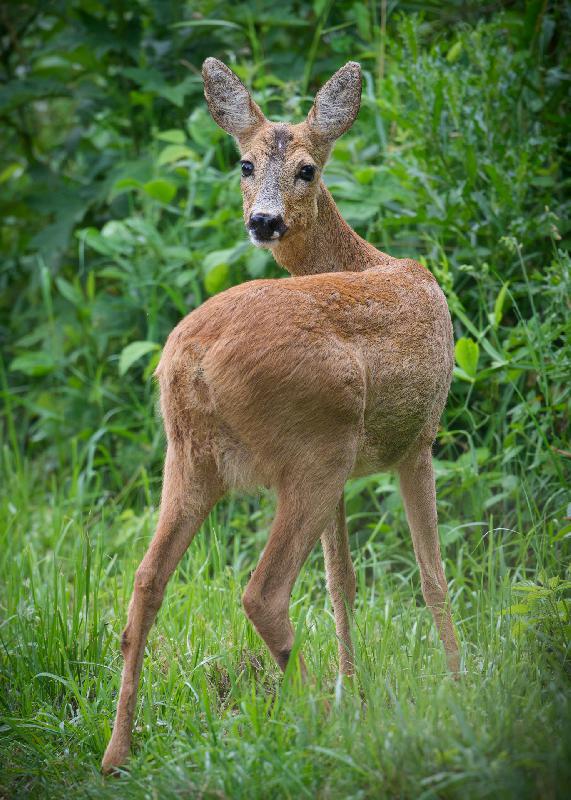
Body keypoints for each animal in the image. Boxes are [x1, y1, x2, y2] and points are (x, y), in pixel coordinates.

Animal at [101, 58, 460, 774]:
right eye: (243, 163)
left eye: (307, 169)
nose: (264, 221)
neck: (370, 258)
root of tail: (192, 361)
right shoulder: (418, 438)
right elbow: (432, 575)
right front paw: (462, 684)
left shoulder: (361, 469)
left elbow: (342, 581)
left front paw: (358, 684)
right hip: (314, 451)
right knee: (261, 592)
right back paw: (320, 713)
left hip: (193, 458)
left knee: (147, 581)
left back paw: (116, 753)